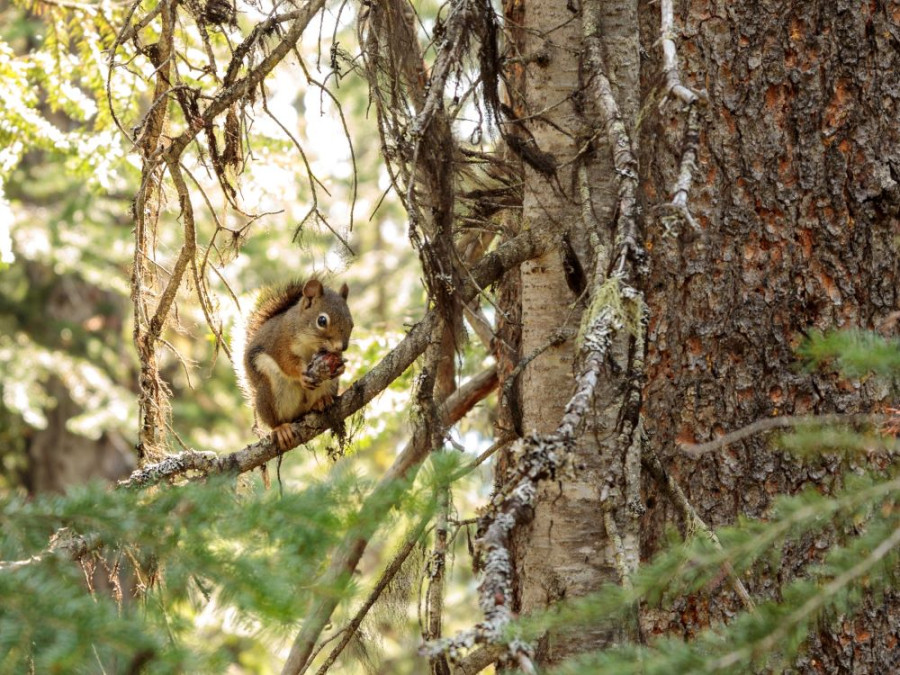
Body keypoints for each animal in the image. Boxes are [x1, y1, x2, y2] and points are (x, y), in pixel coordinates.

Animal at [234, 279, 354, 451]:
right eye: (322, 321)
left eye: (351, 323)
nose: (342, 347)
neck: (311, 343)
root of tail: (298, 413)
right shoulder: (280, 343)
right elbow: (287, 362)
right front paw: (301, 374)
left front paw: (341, 368)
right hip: (270, 391)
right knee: (274, 419)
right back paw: (281, 428)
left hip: (329, 386)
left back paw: (321, 401)